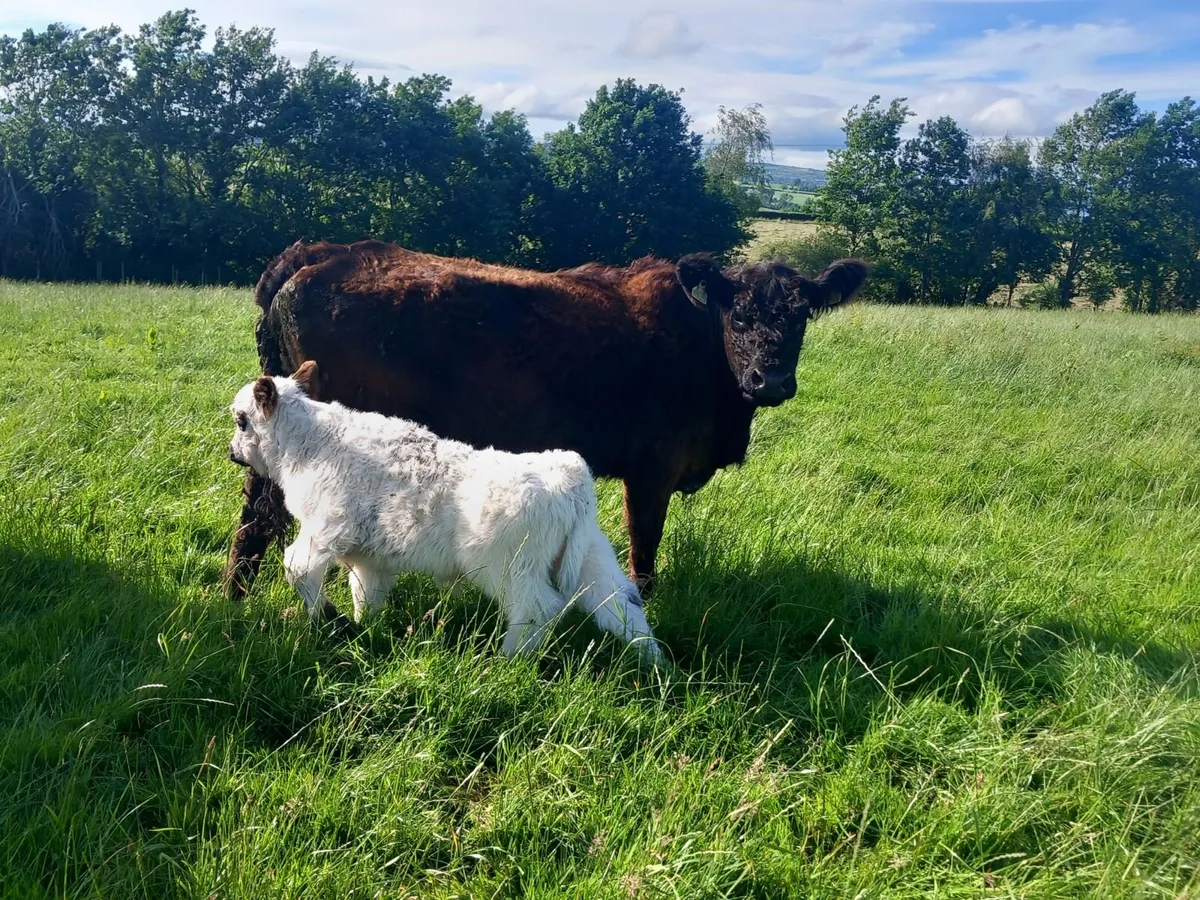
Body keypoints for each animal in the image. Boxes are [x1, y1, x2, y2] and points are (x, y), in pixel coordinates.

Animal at [224, 239, 868, 600]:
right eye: (739, 317)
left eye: (801, 316)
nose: (771, 381)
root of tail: (321, 251)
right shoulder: (651, 472)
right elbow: (645, 552)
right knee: (262, 521)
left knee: (253, 518)